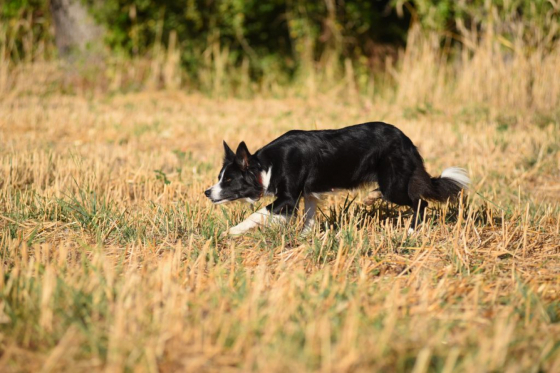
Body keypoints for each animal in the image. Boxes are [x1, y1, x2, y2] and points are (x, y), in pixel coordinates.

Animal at [205, 120, 468, 234]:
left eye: (228, 180)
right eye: (220, 177)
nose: (207, 192)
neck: (264, 167)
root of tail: (407, 140)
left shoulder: (287, 200)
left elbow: (256, 215)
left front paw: (230, 233)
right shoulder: (309, 195)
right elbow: (309, 219)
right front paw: (307, 239)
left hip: (393, 184)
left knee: (420, 202)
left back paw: (411, 232)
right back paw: (371, 199)